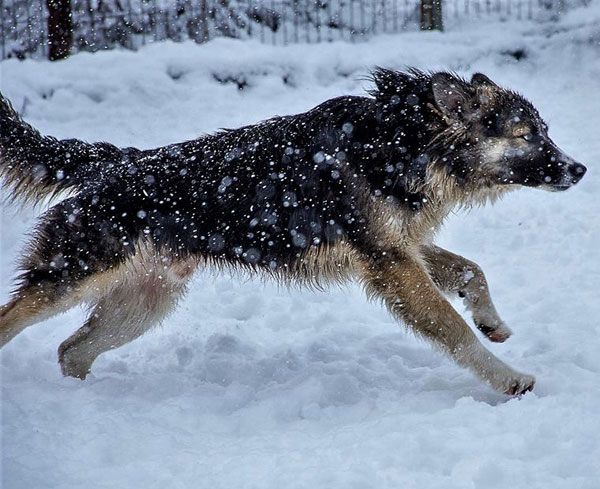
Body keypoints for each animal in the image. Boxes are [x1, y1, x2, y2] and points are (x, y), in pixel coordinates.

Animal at [0, 70, 584, 394]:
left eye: (546, 131)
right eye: (525, 135)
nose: (579, 169)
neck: (405, 143)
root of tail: (114, 162)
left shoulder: (402, 248)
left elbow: (471, 271)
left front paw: (492, 322)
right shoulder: (393, 266)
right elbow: (455, 332)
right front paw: (507, 377)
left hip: (142, 305)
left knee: (71, 351)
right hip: (71, 280)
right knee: (18, 324)